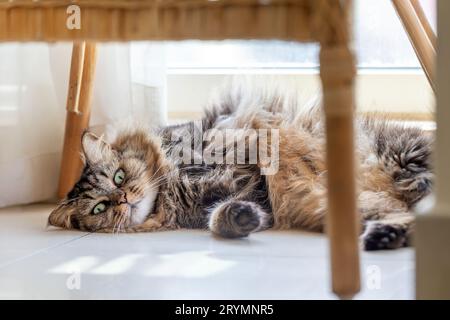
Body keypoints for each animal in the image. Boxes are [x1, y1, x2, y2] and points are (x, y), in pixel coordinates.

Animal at [48, 84, 432, 250]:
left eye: (119, 176)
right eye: (100, 208)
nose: (125, 199)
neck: (171, 195)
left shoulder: (242, 164)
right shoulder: (233, 197)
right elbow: (221, 216)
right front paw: (241, 219)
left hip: (404, 162)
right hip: (360, 204)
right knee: (407, 218)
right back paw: (385, 237)